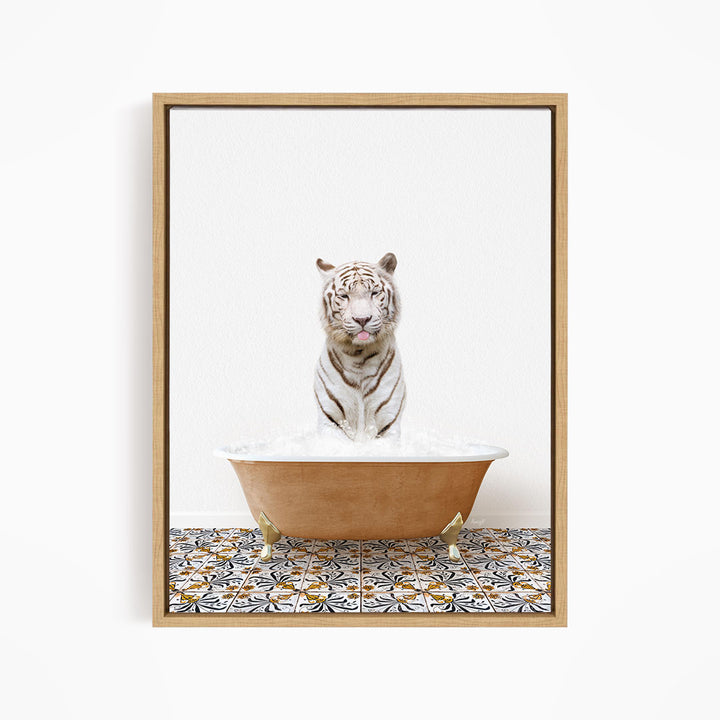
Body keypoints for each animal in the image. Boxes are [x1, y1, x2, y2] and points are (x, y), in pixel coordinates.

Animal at [314, 252, 406, 441]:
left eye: (374, 293)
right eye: (344, 296)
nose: (362, 319)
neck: (359, 356)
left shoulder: (388, 421)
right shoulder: (330, 419)